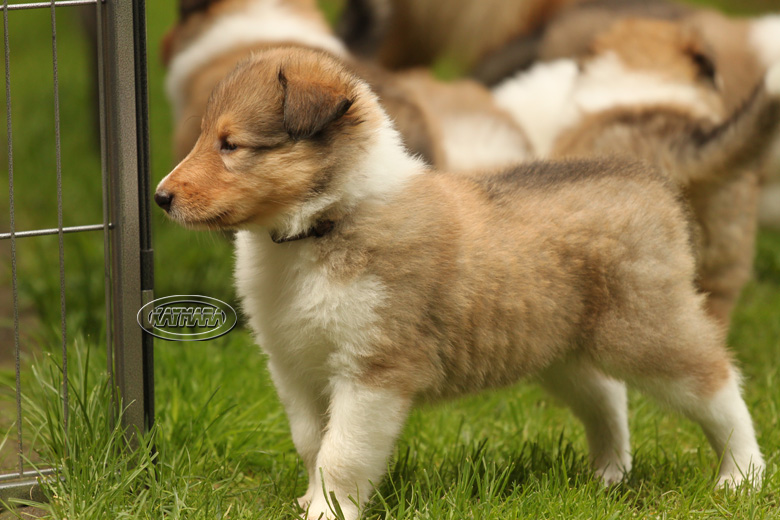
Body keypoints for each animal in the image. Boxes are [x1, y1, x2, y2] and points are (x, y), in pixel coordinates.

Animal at [155, 47, 766, 520]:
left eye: (231, 145)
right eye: (206, 136)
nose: (161, 197)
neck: (322, 224)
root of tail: (649, 178)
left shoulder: (374, 368)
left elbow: (343, 451)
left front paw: (330, 510)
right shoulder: (292, 364)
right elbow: (311, 441)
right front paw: (309, 501)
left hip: (645, 331)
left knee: (718, 384)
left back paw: (742, 479)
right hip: (559, 349)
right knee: (606, 396)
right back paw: (608, 474)